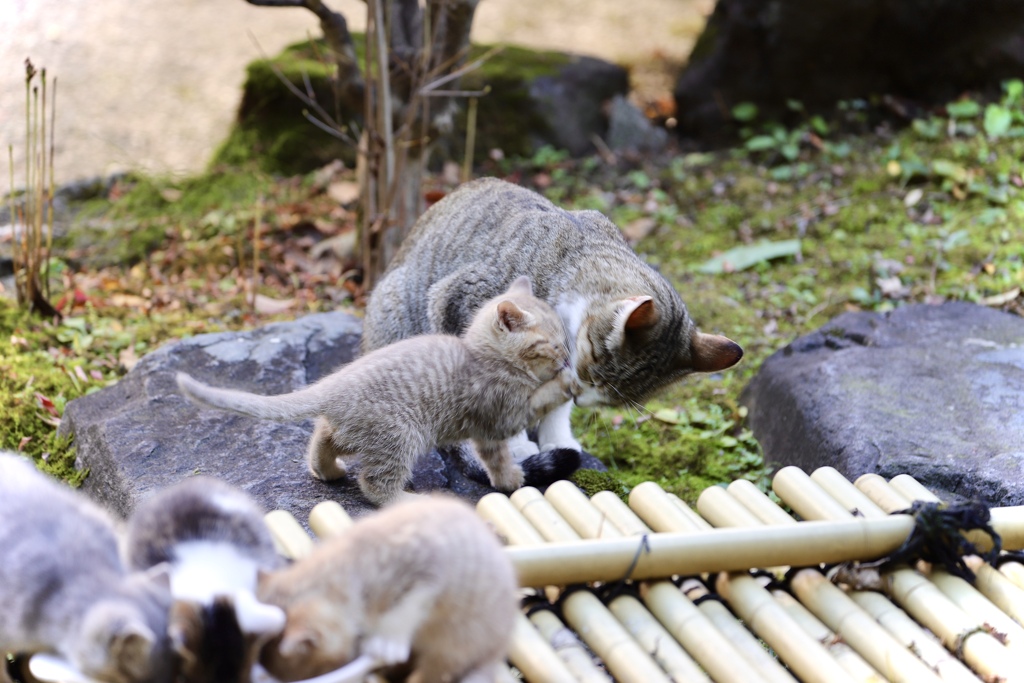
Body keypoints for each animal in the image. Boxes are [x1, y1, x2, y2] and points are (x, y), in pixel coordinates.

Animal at [252, 497, 516, 683]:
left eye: (323, 670)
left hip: (454, 647)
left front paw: (387, 642)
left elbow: (403, 611)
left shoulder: (427, 571)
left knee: (432, 675)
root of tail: (501, 644)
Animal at [362, 176, 745, 462]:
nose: (582, 398)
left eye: (613, 400)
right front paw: (516, 444)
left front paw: (557, 438)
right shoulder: (458, 302)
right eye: (593, 368)